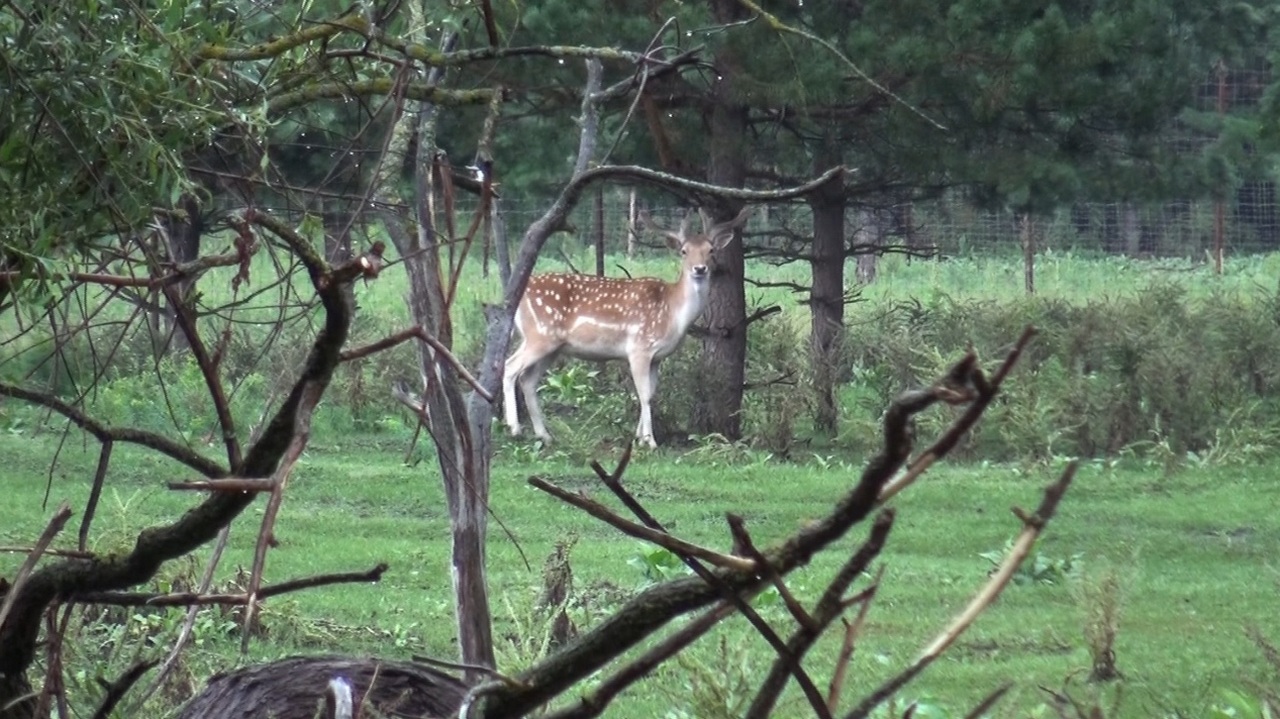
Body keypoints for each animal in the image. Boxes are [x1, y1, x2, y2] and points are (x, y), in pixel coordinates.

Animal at [504, 204, 752, 445]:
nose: (699, 269)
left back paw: (544, 435)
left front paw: (638, 437)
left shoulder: (657, 357)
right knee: (510, 366)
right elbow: (643, 394)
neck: (673, 314)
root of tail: (515, 297)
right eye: (684, 251)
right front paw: (650, 441)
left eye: (711, 250)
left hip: (553, 346)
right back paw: (515, 429)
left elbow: (650, 394)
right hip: (540, 334)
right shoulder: (639, 347)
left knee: (527, 379)